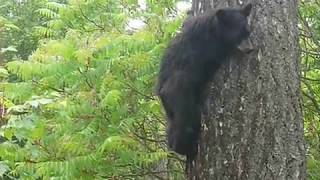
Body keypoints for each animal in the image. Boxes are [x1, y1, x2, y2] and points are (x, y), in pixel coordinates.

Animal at [157, 3, 252, 159]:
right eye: (237, 35)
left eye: (248, 32)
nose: (250, 49)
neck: (213, 28)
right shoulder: (207, 48)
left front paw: (189, 12)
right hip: (180, 93)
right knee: (185, 118)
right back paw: (184, 146)